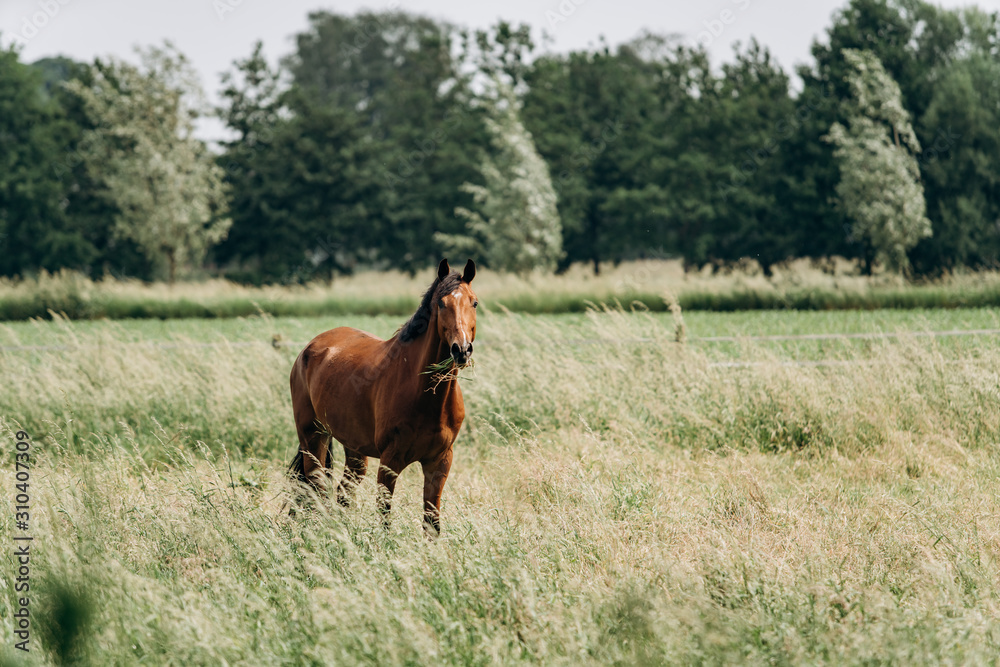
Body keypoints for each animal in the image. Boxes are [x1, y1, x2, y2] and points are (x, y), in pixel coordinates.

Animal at [288, 258, 478, 536]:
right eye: (442, 304)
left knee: (342, 494)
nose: (461, 350)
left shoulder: (439, 461)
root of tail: (309, 348)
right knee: (316, 488)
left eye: (474, 302)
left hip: (354, 451)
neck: (425, 395)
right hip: (313, 437)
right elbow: (384, 516)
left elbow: (431, 523)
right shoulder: (390, 461)